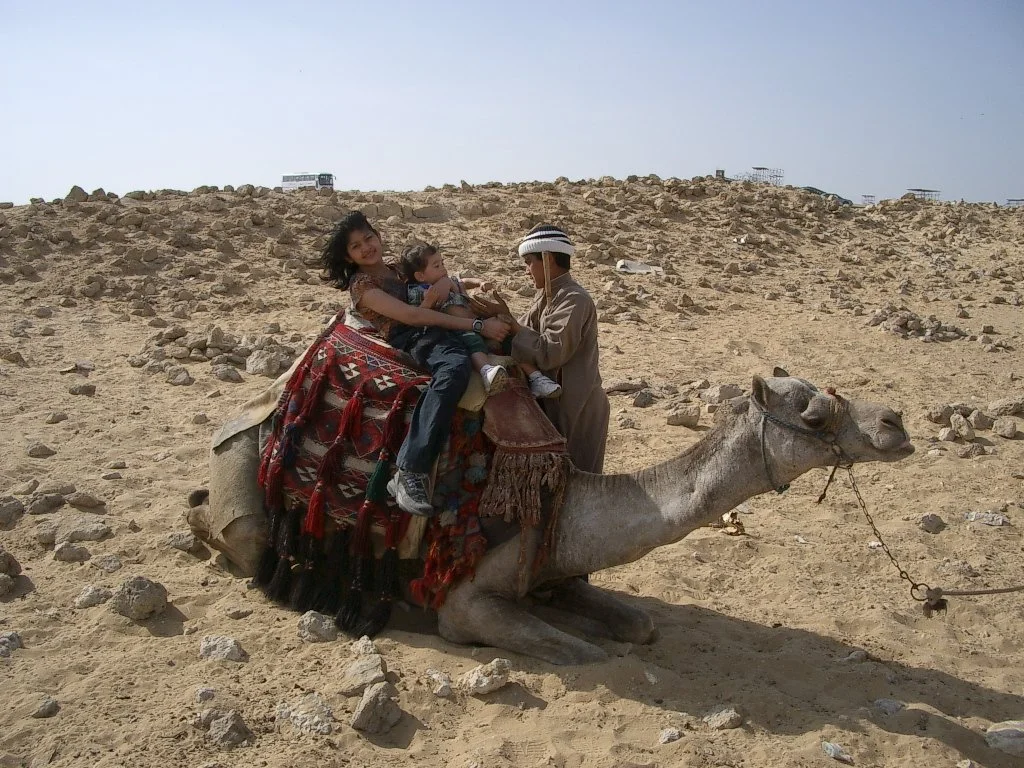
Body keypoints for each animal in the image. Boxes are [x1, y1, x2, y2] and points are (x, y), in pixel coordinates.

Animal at [189, 369, 913, 665]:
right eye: (812, 414)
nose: (895, 424)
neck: (568, 506)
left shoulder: (554, 571)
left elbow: (641, 625)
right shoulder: (465, 600)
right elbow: (584, 651)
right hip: (242, 473)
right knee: (235, 529)